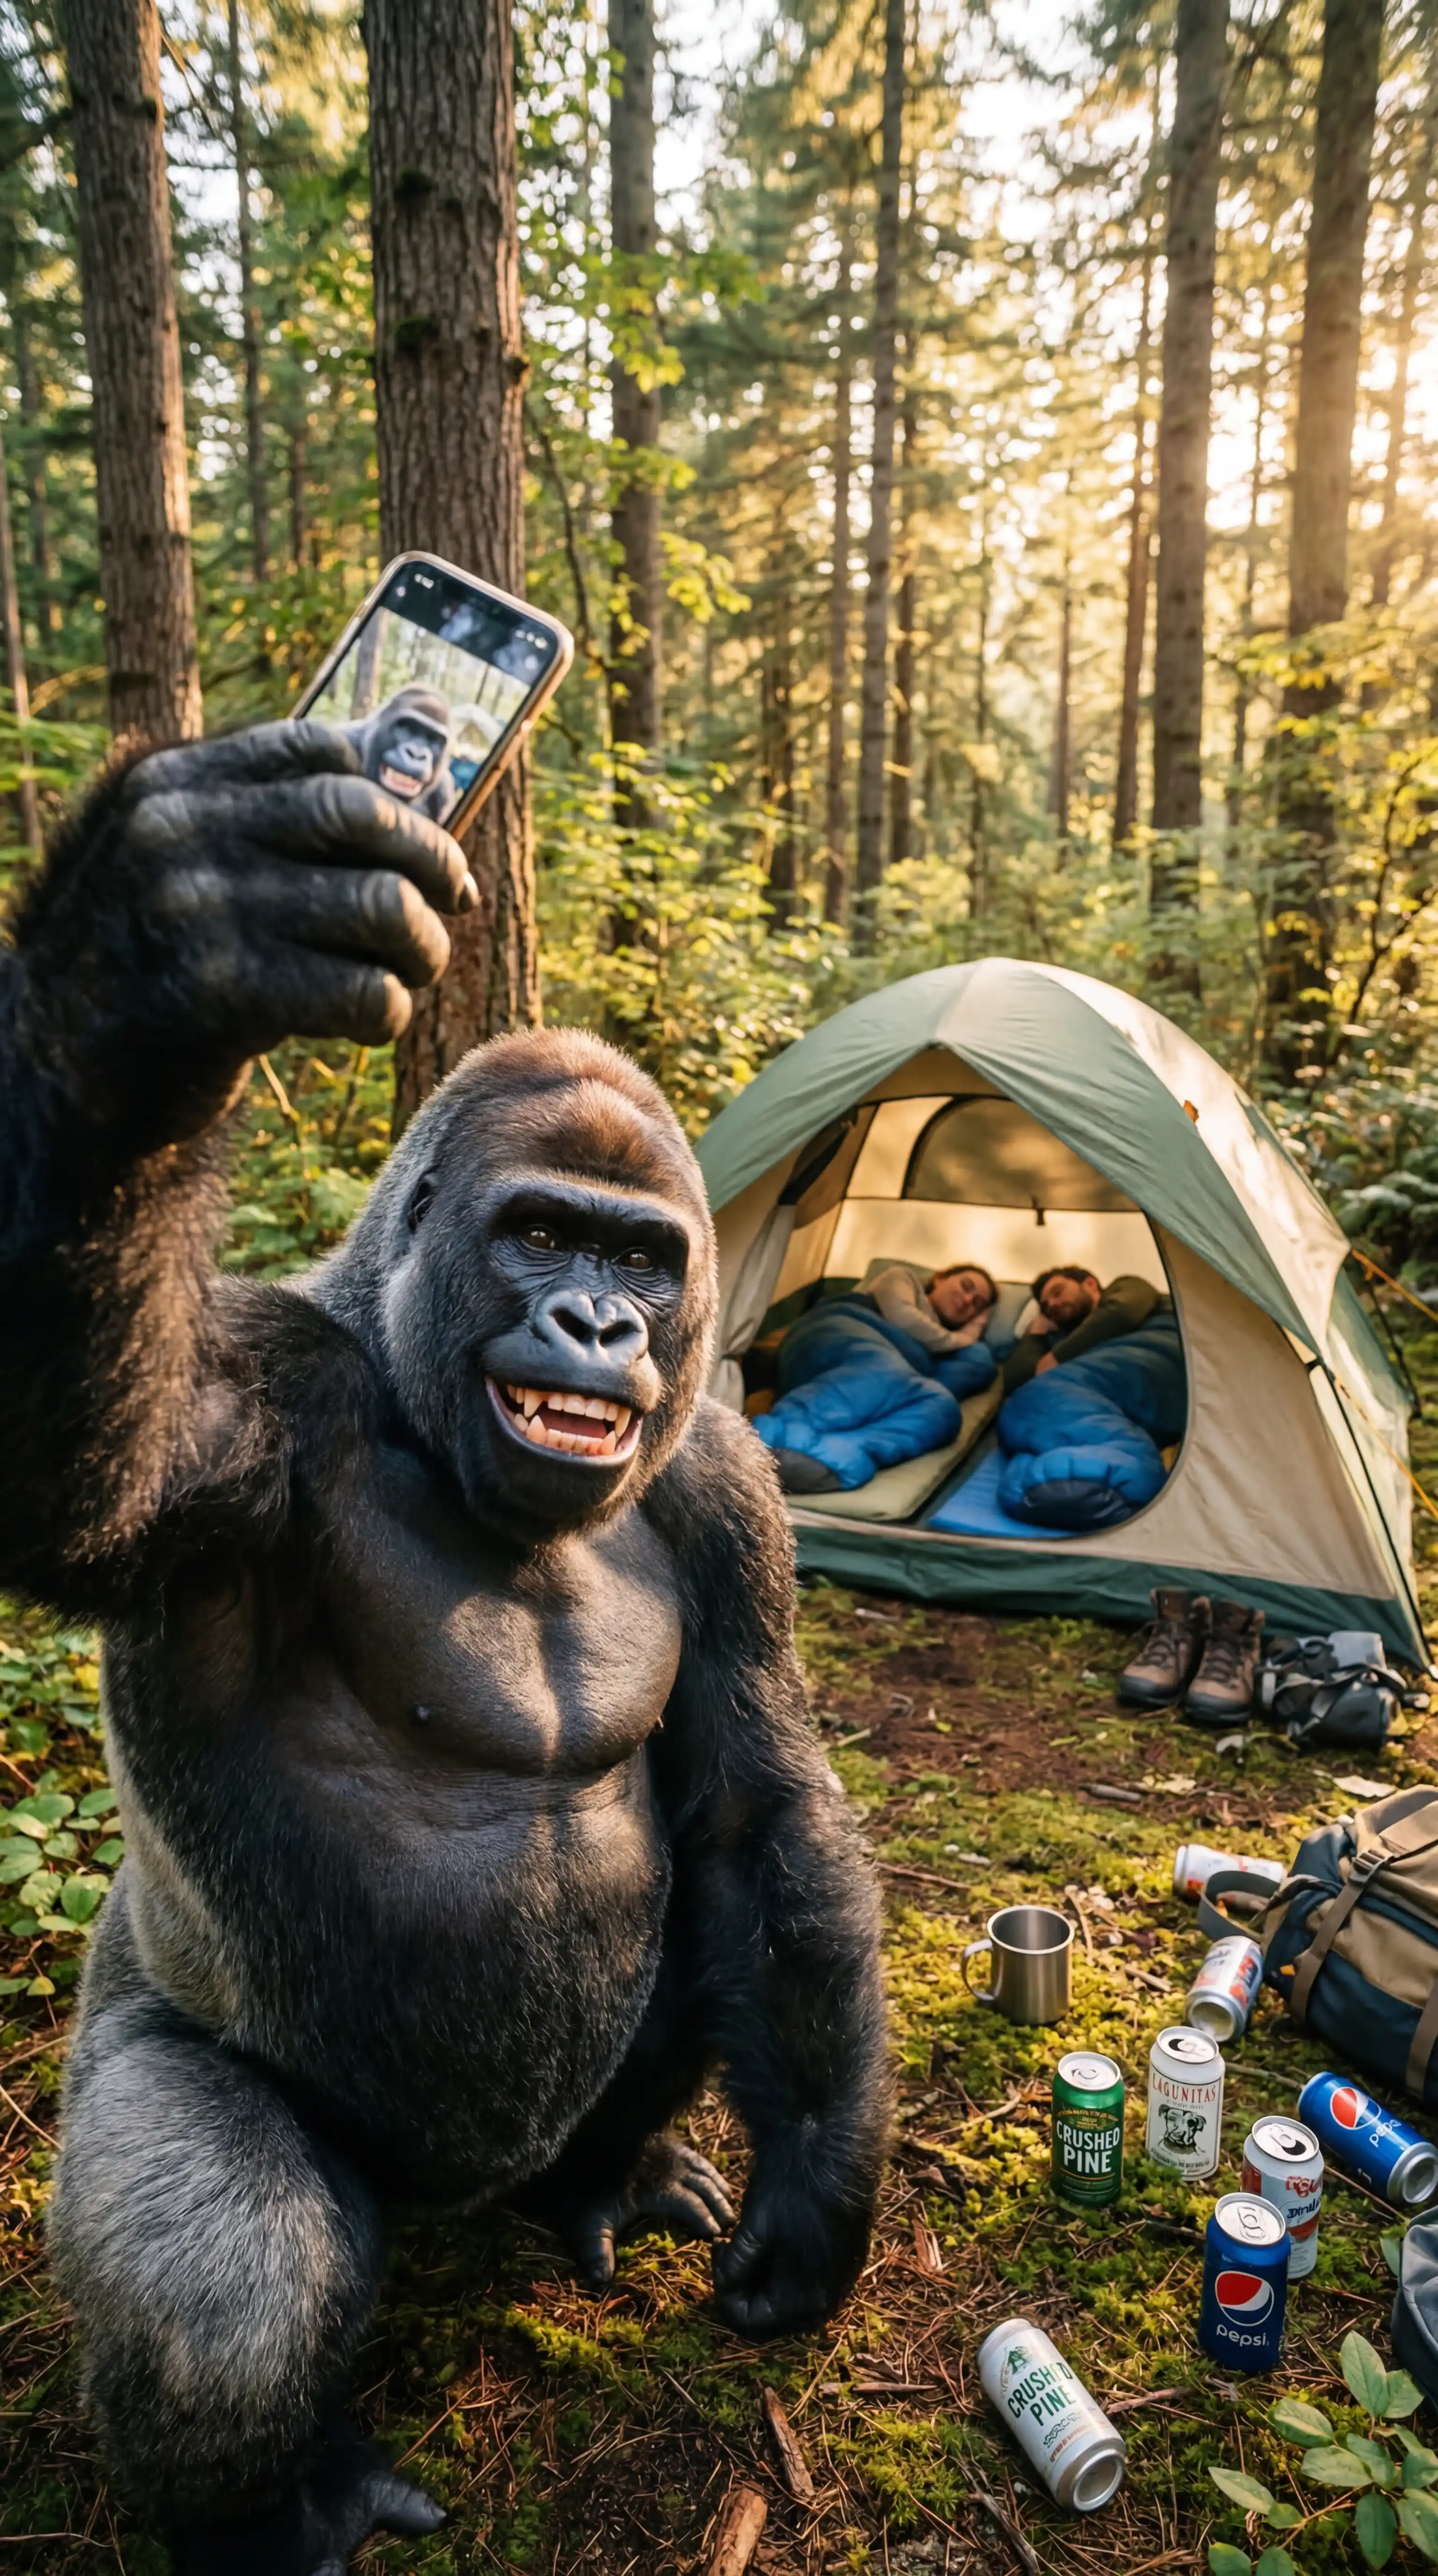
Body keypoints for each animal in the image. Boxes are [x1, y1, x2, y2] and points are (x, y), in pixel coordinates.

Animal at [0, 723, 891, 2576]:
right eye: (539, 1233)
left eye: (643, 1254)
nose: (599, 1325)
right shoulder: (260, 1400)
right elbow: (71, 1466)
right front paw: (149, 970)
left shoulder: (725, 1481)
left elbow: (758, 1807)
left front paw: (818, 2193)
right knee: (234, 2272)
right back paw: (282, 2512)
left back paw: (602, 2179)